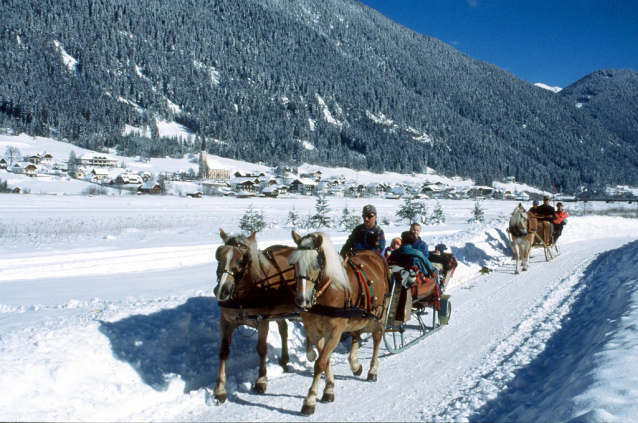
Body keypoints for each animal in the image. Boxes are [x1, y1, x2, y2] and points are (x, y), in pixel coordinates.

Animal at [214, 230, 316, 406]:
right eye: (218, 257)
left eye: (242, 260)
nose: (221, 291)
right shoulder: (226, 322)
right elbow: (224, 352)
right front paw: (220, 389)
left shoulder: (263, 321)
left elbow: (261, 350)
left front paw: (261, 381)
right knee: (284, 330)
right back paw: (284, 360)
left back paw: (309, 353)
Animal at [288, 230, 390, 416]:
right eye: (294, 264)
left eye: (316, 264)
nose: (302, 300)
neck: (325, 293)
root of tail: (374, 254)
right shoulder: (314, 331)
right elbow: (325, 359)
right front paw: (329, 389)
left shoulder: (335, 331)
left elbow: (320, 363)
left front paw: (310, 400)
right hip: (356, 316)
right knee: (356, 335)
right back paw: (355, 364)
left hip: (380, 312)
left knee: (377, 338)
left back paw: (372, 370)